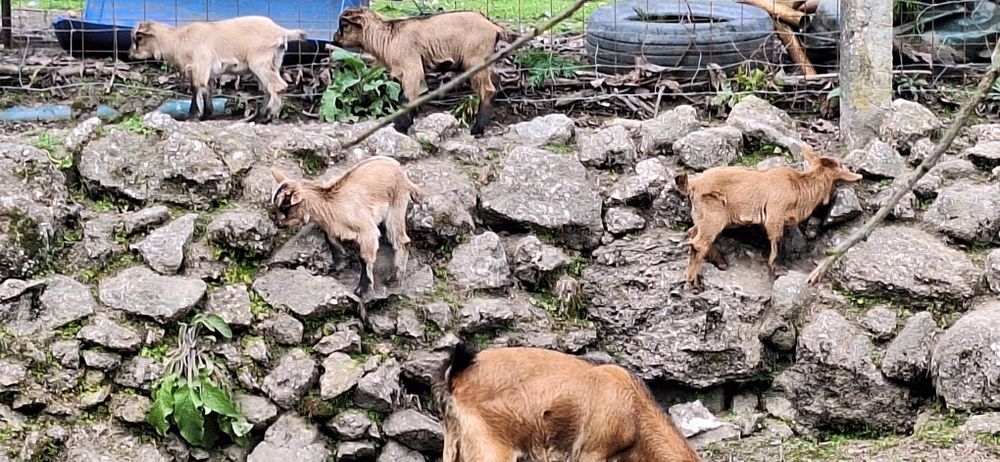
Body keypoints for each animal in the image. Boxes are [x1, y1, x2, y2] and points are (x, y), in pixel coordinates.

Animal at [128, 16, 307, 123]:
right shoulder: (208, 72)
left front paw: (192, 116)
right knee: (268, 89)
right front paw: (207, 114)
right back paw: (262, 115)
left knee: (278, 87)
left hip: (260, 62)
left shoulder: (200, 65)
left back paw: (265, 117)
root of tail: (281, 31)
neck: (178, 40)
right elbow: (207, 90)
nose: (129, 55)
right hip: (272, 63)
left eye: (139, 38)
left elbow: (196, 88)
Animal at [269, 156, 423, 299]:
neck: (330, 204)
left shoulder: (367, 230)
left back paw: (394, 278)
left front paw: (362, 289)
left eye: (285, 206)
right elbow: (331, 240)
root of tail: (403, 175)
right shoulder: (330, 227)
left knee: (402, 241)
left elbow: (364, 257)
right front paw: (338, 265)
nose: (278, 224)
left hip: (396, 205)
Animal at [332, 7, 512, 136]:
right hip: (486, 61)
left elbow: (405, 98)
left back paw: (477, 129)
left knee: (487, 89)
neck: (388, 38)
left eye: (345, 25)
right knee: (495, 81)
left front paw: (401, 127)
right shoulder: (402, 72)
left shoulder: (412, 68)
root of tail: (494, 27)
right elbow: (406, 96)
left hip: (475, 60)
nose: (334, 39)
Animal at [675, 145, 863, 292]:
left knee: (693, 234)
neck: (799, 186)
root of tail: (693, 185)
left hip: (702, 215)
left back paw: (718, 263)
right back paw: (694, 283)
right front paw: (778, 269)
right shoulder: (775, 213)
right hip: (713, 216)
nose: (831, 199)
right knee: (699, 243)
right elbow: (777, 239)